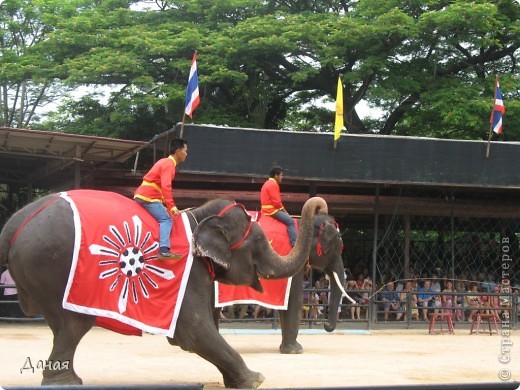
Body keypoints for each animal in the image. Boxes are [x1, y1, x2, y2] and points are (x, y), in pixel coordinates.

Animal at [0, 190, 324, 388]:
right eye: (258, 242)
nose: (319, 204)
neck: (199, 215)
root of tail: (13, 223)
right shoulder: (191, 272)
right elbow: (192, 331)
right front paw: (256, 379)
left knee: (62, 327)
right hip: (52, 265)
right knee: (74, 325)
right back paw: (66, 382)